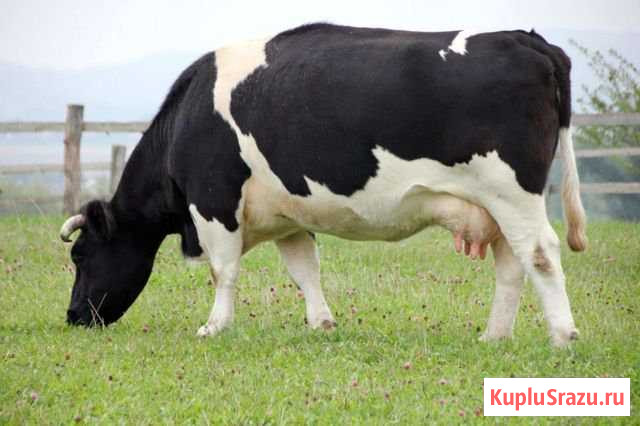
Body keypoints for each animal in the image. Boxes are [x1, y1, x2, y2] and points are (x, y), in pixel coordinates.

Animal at [60, 23, 587, 346]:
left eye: (80, 255)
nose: (74, 316)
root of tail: (526, 38)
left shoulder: (213, 201)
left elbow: (222, 270)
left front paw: (213, 326)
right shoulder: (288, 213)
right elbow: (304, 269)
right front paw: (322, 324)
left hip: (511, 192)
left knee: (540, 252)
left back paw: (563, 336)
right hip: (495, 206)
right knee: (512, 265)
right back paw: (494, 336)